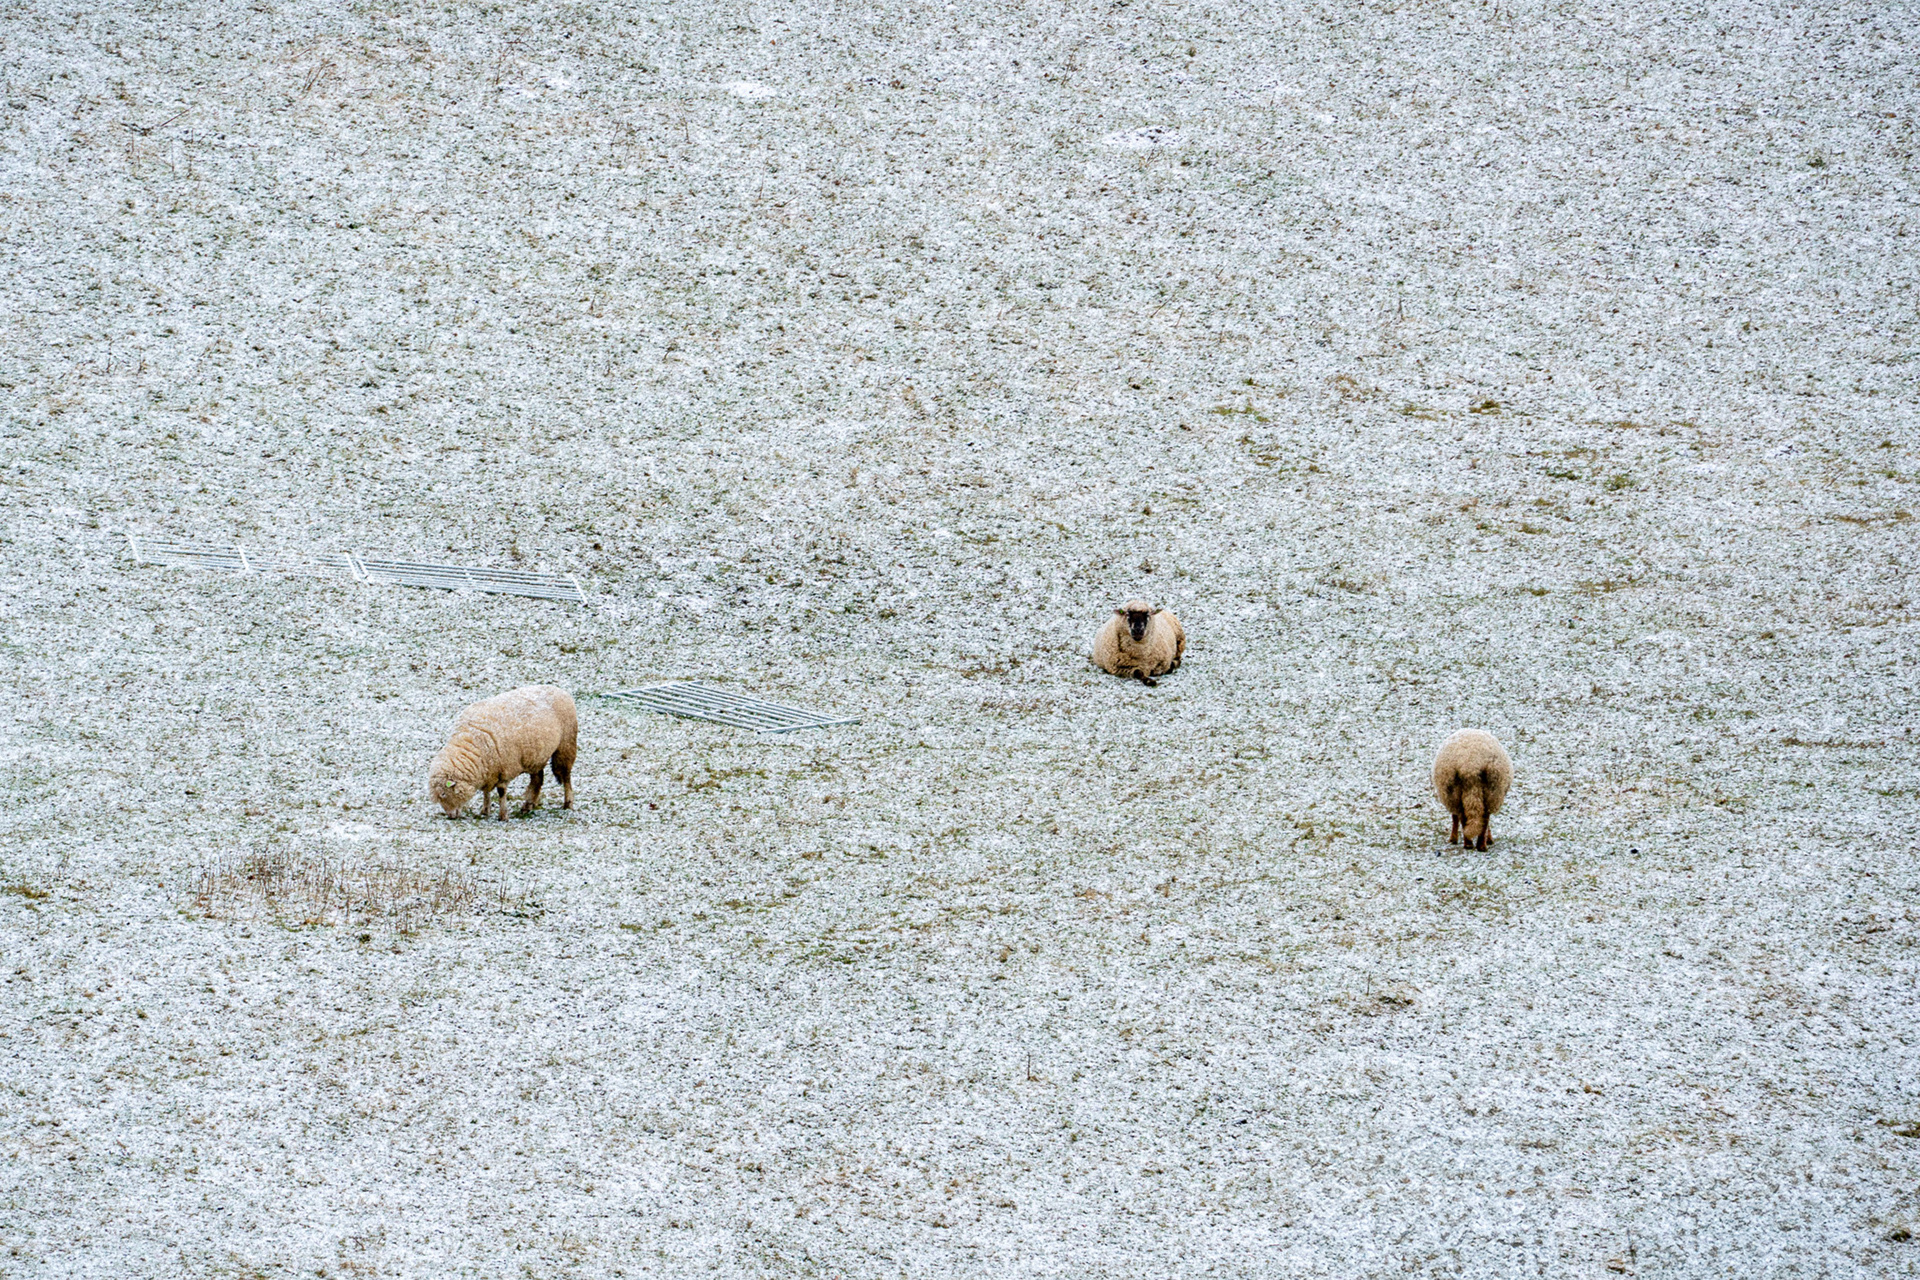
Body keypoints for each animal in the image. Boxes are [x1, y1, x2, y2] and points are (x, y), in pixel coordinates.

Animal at [428, 685, 578, 821]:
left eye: (443, 793)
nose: (451, 816)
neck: (472, 743)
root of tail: (560, 690)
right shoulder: (488, 769)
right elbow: (486, 791)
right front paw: (485, 810)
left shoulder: (505, 769)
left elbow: (501, 792)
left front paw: (503, 815)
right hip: (536, 756)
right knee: (538, 779)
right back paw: (528, 806)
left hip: (565, 746)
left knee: (565, 776)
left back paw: (568, 804)